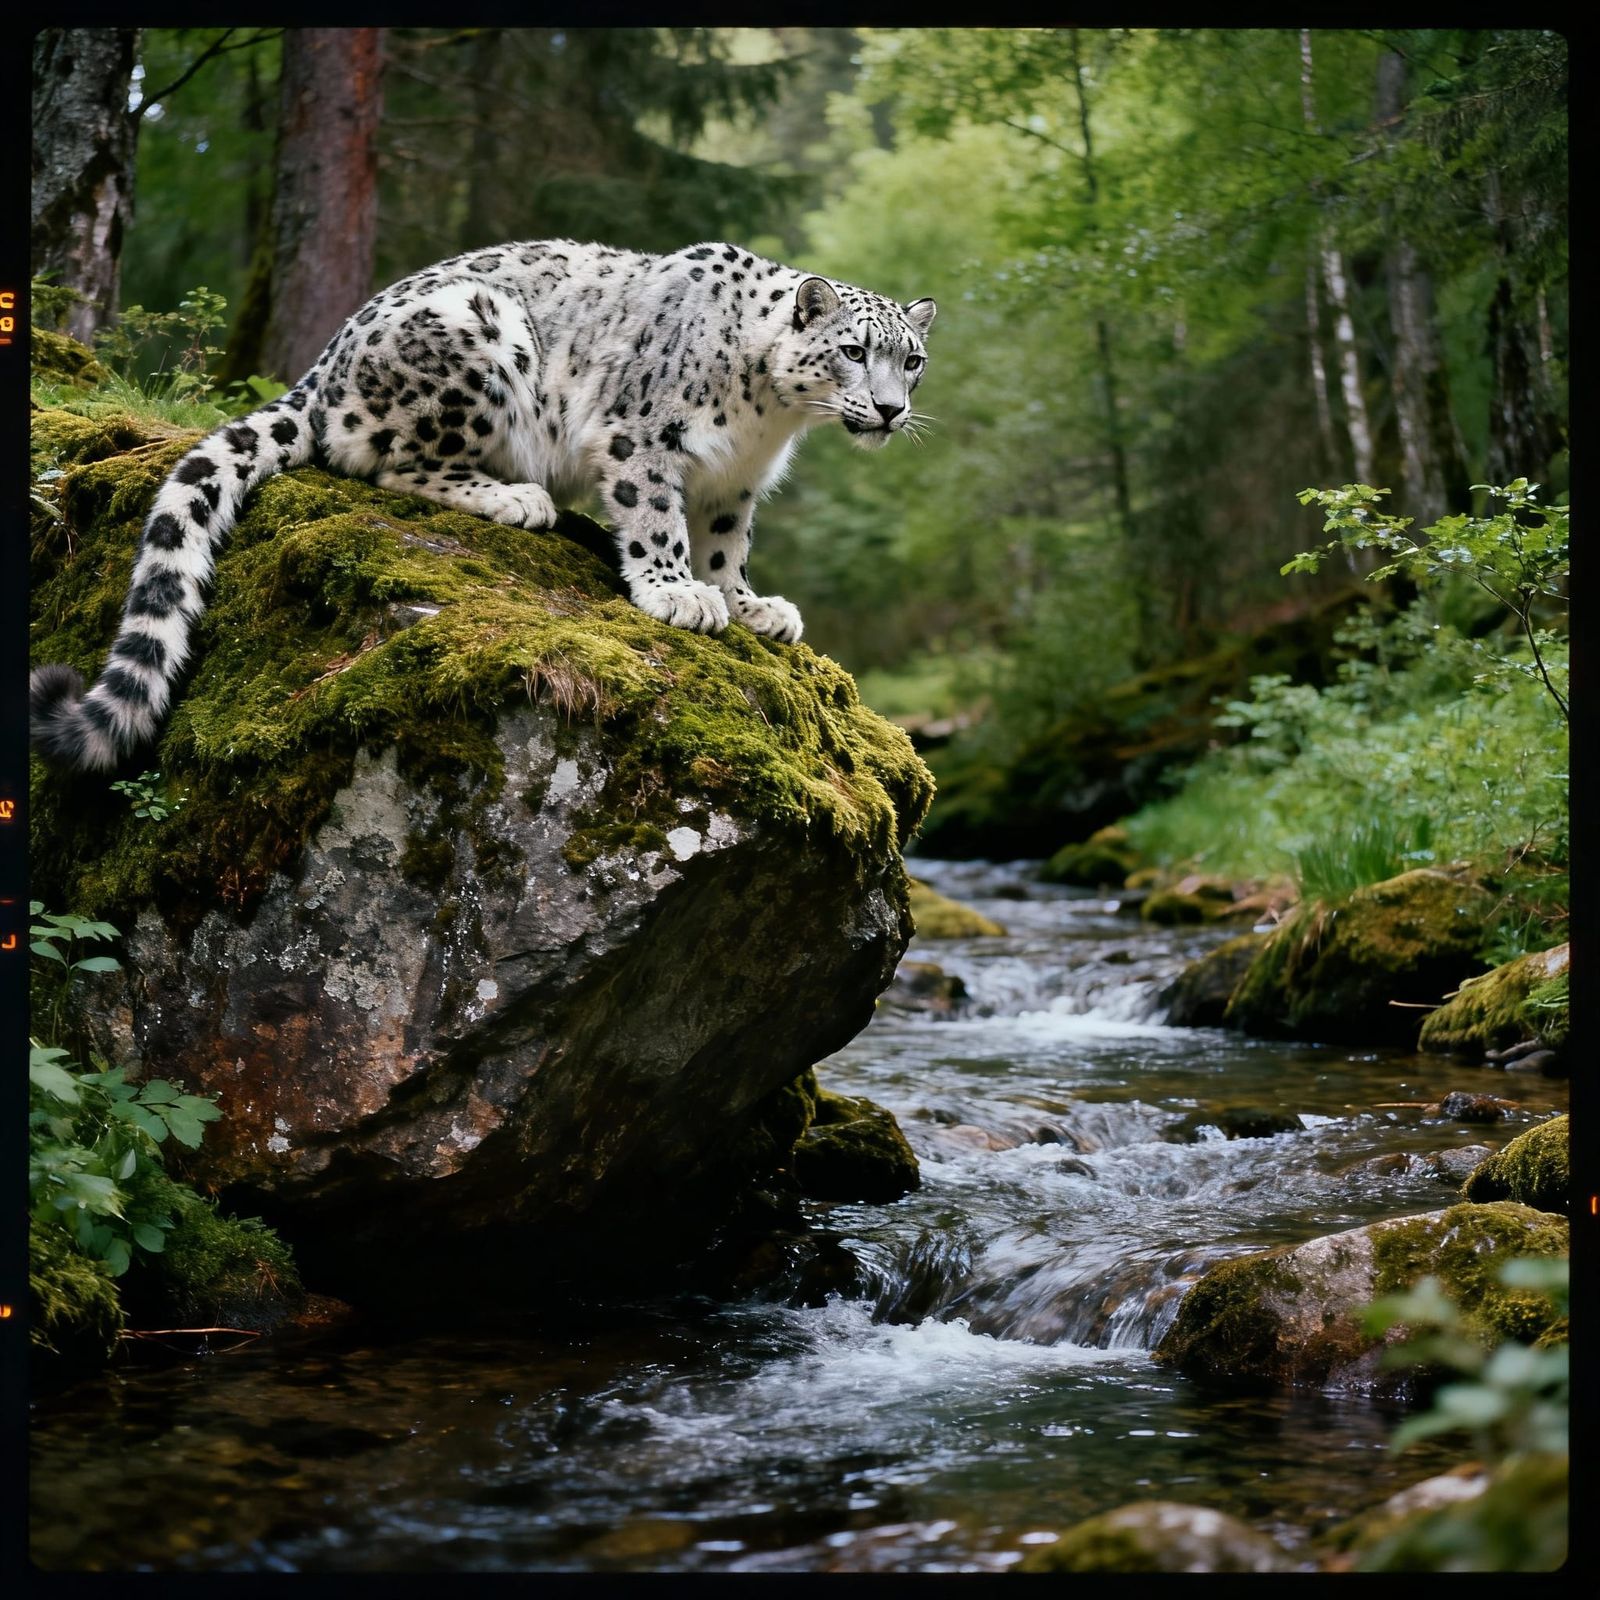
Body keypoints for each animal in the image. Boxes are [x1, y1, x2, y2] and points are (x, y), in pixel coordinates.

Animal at [31, 238, 936, 773]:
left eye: (913, 360)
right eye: (854, 351)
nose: (891, 410)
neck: (769, 419)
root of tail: (326, 362)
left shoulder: (734, 483)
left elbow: (725, 544)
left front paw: (750, 604)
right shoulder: (642, 437)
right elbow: (655, 519)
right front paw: (678, 593)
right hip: (475, 344)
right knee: (380, 458)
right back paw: (515, 497)